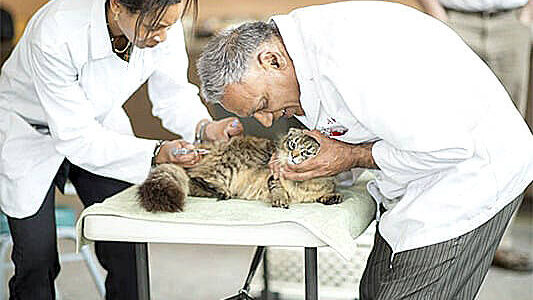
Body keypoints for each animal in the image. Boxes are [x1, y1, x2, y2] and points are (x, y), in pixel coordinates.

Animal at [137, 127, 342, 212]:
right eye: (292, 145)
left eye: (307, 152)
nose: (294, 155)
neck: (302, 184)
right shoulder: (272, 178)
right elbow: (278, 189)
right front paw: (281, 199)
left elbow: (327, 192)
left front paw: (331, 196)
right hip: (225, 168)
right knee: (195, 179)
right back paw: (220, 191)